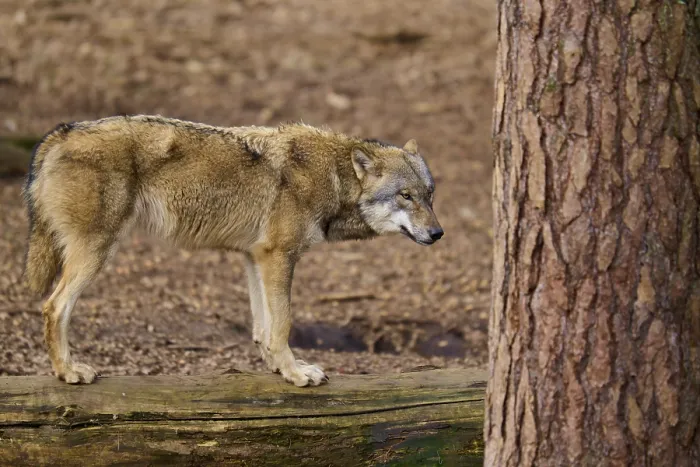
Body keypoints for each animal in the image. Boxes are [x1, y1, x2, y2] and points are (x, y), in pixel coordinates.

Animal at [23, 115, 443, 387]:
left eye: (429, 195)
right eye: (405, 196)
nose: (438, 233)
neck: (332, 176)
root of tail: (58, 134)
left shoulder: (255, 257)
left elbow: (263, 327)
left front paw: (279, 367)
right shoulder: (279, 256)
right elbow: (283, 322)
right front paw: (295, 374)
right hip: (98, 252)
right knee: (53, 306)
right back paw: (68, 372)